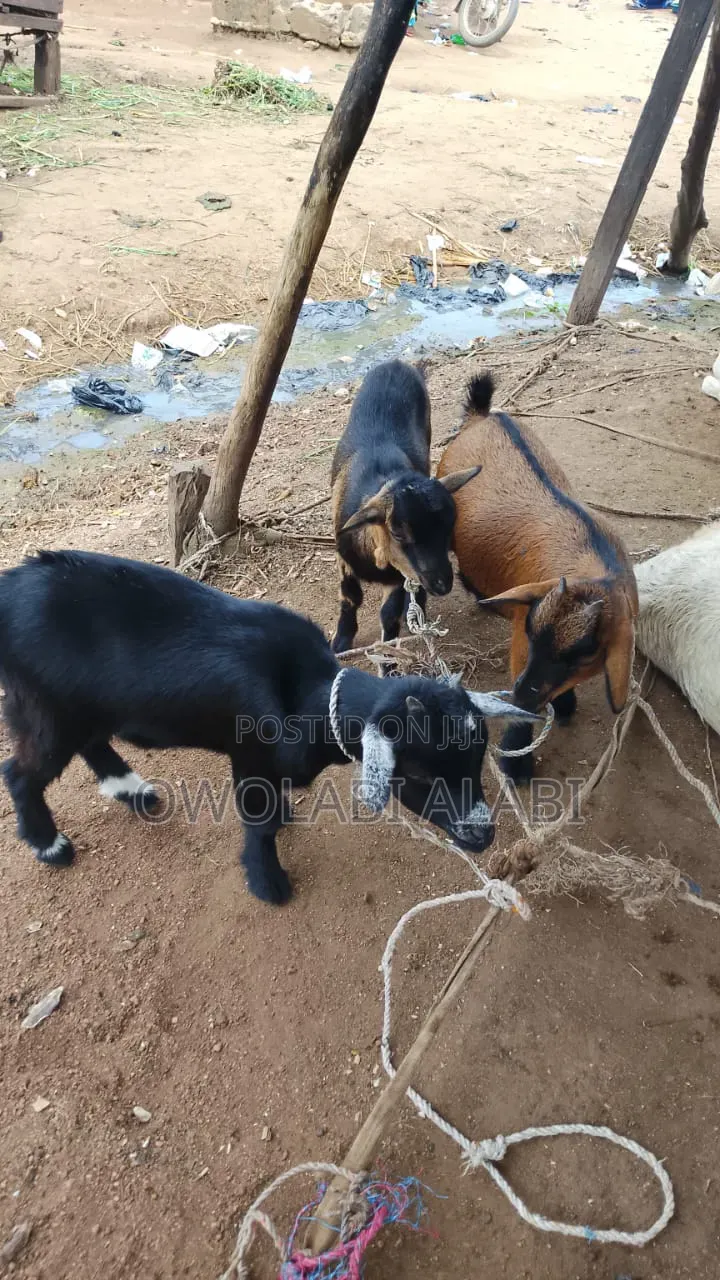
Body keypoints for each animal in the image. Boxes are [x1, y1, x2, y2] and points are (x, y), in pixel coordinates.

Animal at [0, 550, 540, 902]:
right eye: (420, 775)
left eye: (477, 757)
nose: (482, 835)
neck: (310, 699)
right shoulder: (250, 756)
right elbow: (257, 824)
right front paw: (268, 882)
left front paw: (283, 817)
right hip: (45, 705)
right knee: (21, 771)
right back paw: (51, 846)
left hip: (80, 707)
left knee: (91, 743)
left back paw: (133, 792)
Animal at [330, 359, 480, 655]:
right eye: (398, 533)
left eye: (450, 526)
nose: (443, 585)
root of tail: (397, 363)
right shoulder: (345, 559)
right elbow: (351, 597)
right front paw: (341, 640)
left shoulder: (399, 578)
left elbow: (388, 613)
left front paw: (390, 650)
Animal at [437, 373, 638, 781]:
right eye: (531, 632)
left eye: (585, 654)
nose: (524, 692)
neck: (598, 570)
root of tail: (483, 416)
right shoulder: (521, 632)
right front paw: (516, 763)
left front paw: (563, 705)